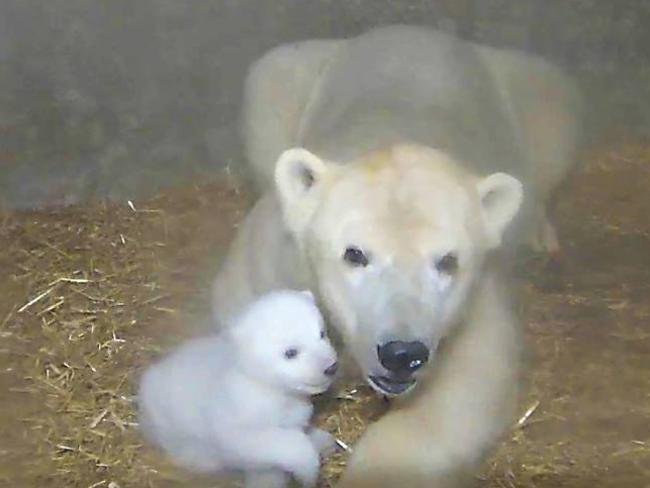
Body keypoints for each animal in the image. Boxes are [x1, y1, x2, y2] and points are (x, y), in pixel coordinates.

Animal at [139, 290, 336, 488]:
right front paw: (306, 470)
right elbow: (267, 444)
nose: (331, 367)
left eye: (322, 333)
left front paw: (319, 441)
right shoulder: (235, 416)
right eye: (291, 352)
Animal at [210, 25, 580, 488]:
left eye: (447, 261)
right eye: (354, 254)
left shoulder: (477, 303)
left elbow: (467, 382)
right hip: (291, 72)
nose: (402, 353)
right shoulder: (273, 258)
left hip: (530, 87)